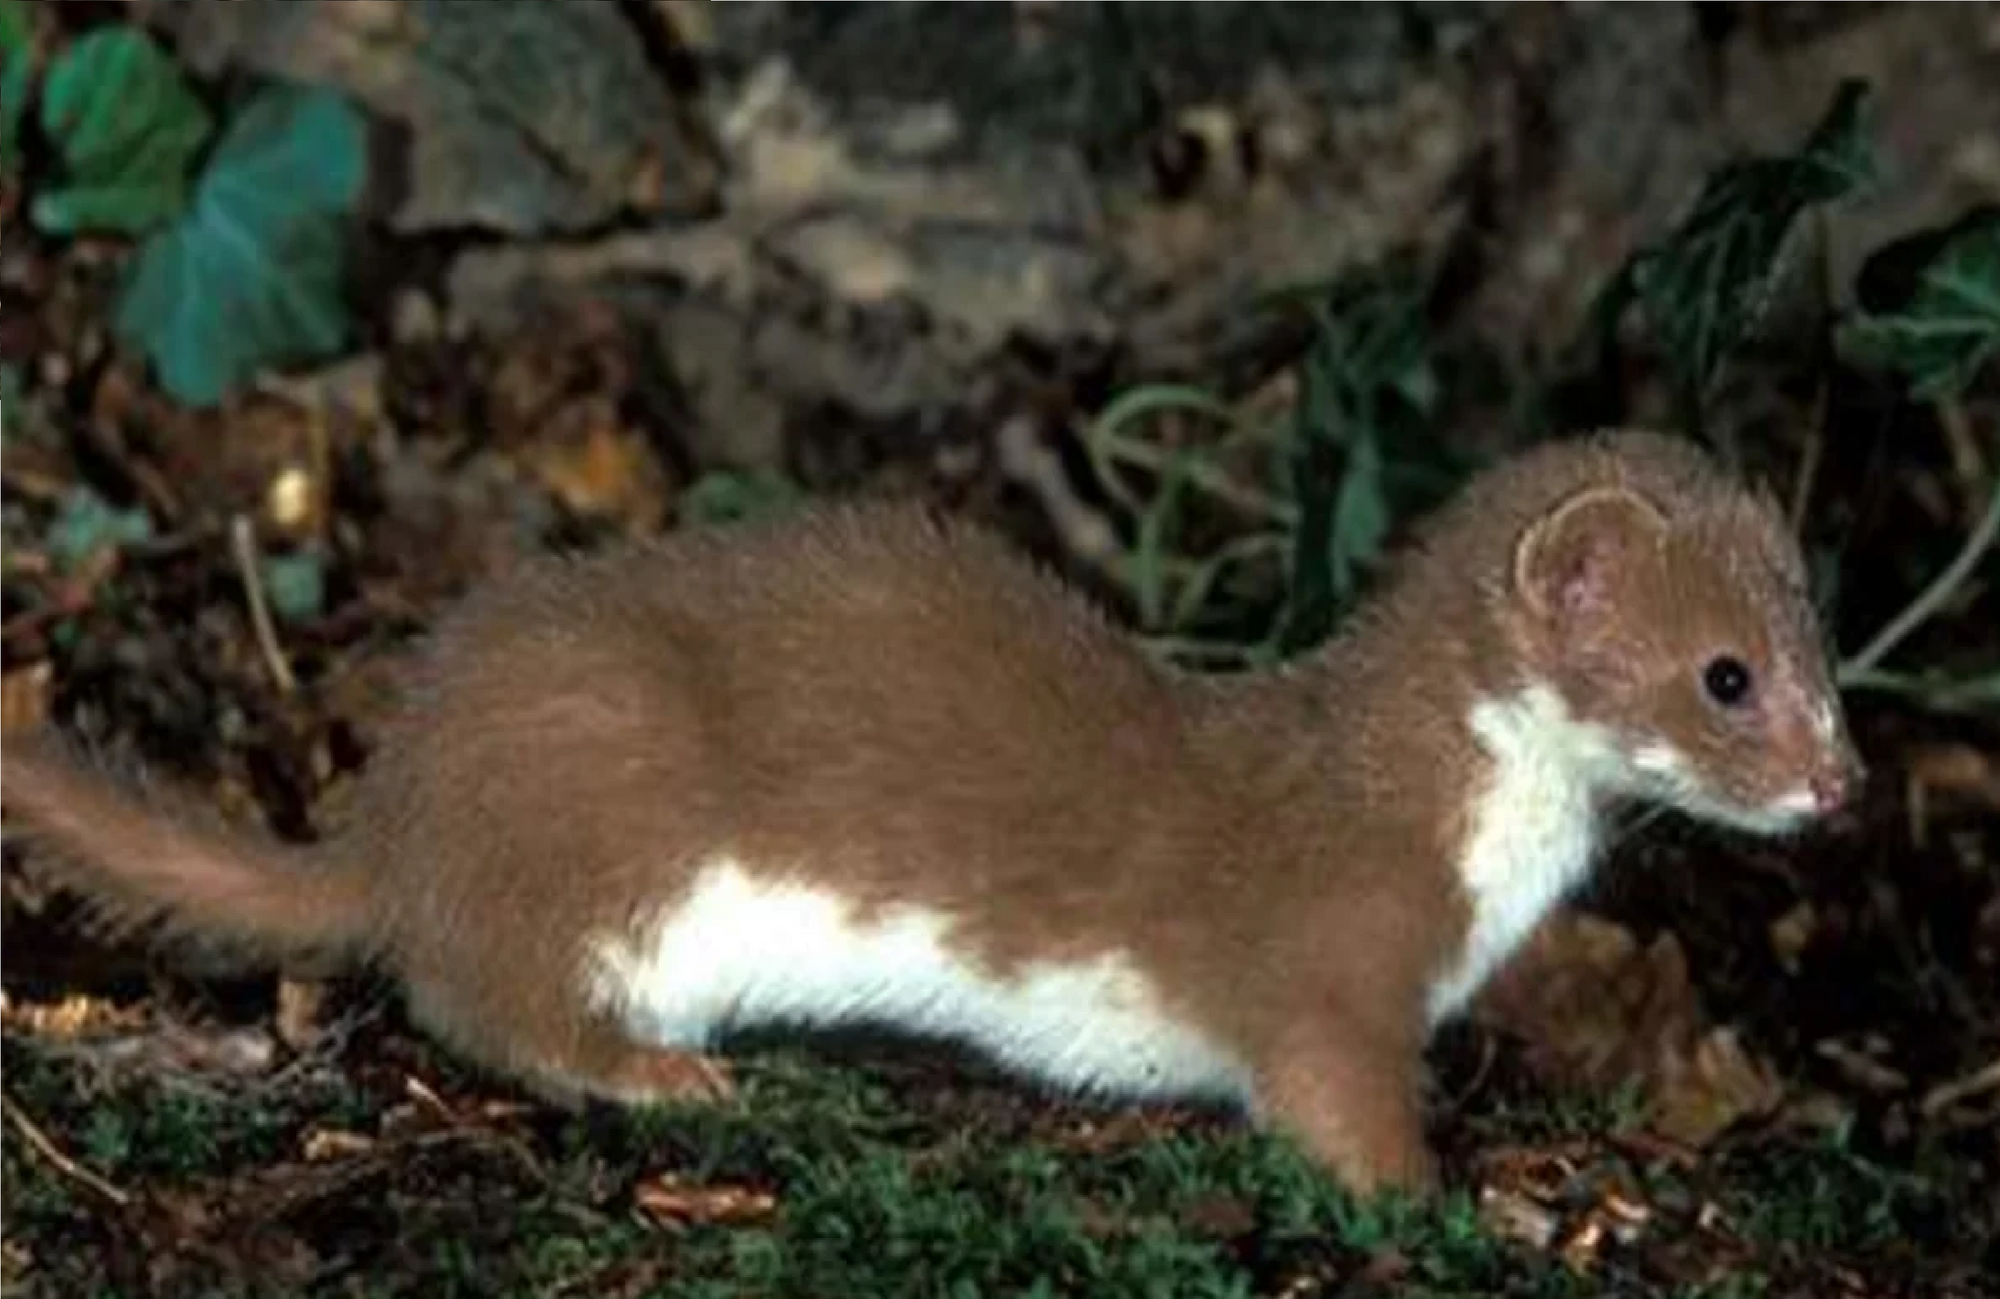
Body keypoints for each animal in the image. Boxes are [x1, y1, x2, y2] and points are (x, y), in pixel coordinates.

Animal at [0, 427, 1856, 1191]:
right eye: (1724, 675)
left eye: (1821, 635)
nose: (1842, 779)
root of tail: (398, 809)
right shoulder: (1334, 958)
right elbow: (1331, 1093)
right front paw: (1433, 1200)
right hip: (610, 796)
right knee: (485, 993)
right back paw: (664, 1070)